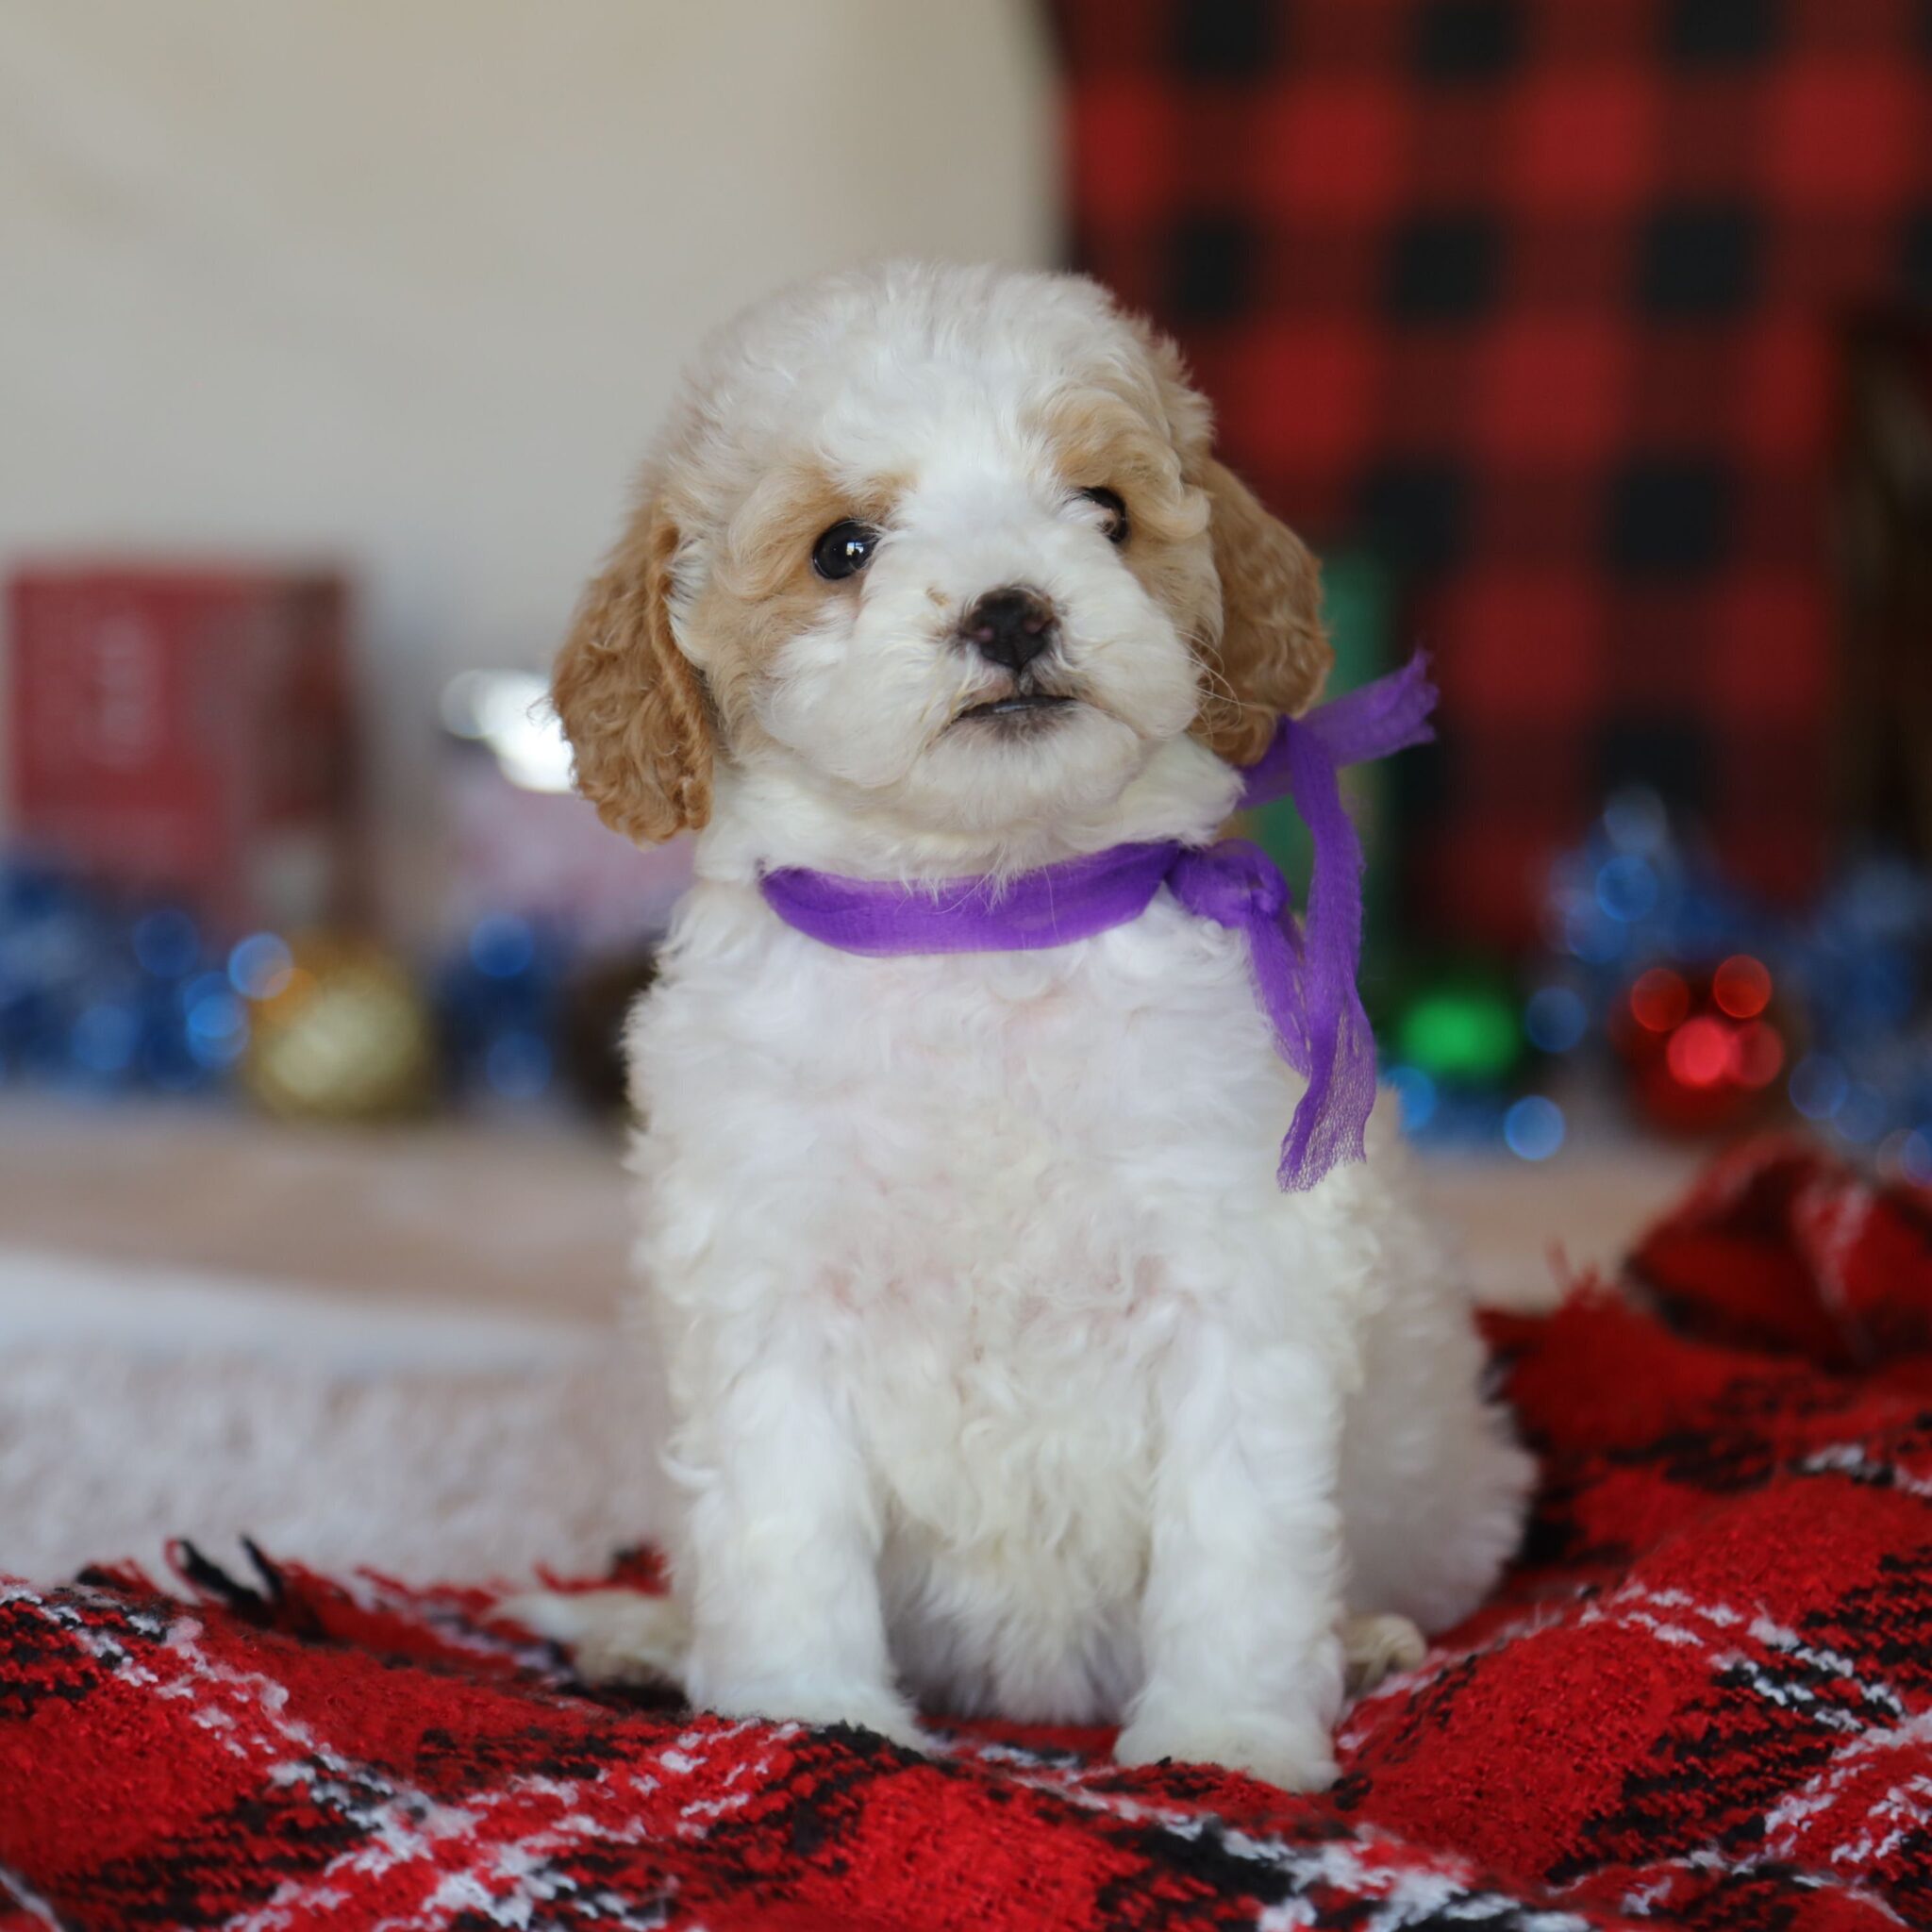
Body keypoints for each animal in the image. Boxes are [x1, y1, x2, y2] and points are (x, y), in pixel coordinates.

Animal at [516, 262, 1531, 1792]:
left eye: (1103, 511)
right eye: (842, 549)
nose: (1010, 613)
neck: (980, 923)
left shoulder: (1237, 1280)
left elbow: (1239, 1533)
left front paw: (1226, 1742)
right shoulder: (770, 1290)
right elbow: (781, 1530)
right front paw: (804, 1716)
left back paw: (1361, 1644)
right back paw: (644, 1637)